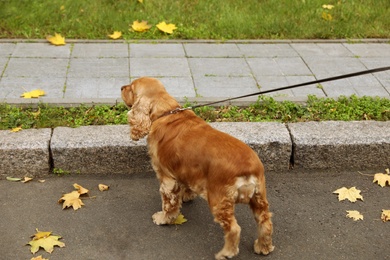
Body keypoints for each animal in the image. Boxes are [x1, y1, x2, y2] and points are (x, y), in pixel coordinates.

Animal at [122, 76, 274, 258]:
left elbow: (169, 203)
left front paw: (163, 218)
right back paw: (263, 247)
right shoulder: (186, 169)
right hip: (259, 197)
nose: (121, 87)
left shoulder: (166, 177)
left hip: (218, 200)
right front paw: (187, 196)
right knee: (265, 221)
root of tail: (249, 170)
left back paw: (226, 253)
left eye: (131, 88)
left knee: (234, 229)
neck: (166, 111)